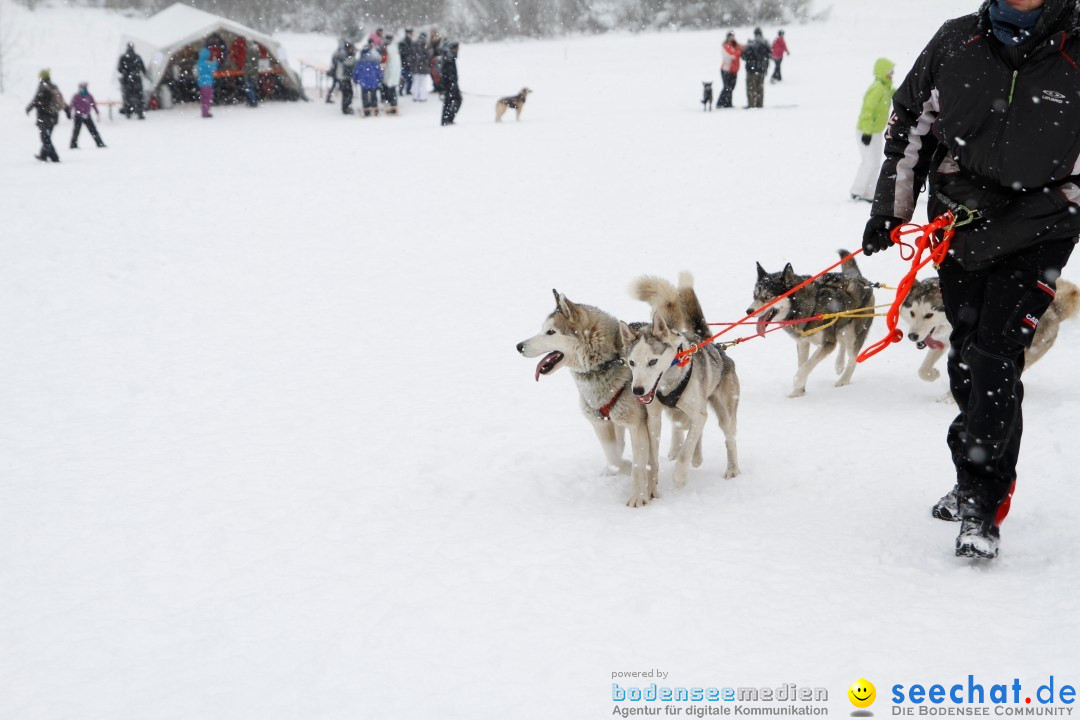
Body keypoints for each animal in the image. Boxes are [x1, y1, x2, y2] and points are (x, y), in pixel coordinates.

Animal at [518, 289, 660, 507]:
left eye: (551, 332)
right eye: (543, 329)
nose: (519, 346)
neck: (607, 362)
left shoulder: (637, 424)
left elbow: (637, 464)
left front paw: (638, 497)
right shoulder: (600, 423)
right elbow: (614, 460)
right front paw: (622, 469)